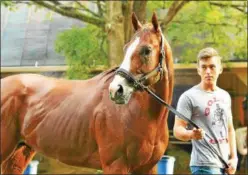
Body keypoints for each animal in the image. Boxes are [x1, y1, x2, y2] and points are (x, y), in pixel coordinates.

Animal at [0, 13, 173, 174]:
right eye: (126, 48)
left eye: (147, 50)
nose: (116, 90)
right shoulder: (115, 165)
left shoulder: (147, 168)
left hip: (19, 152)